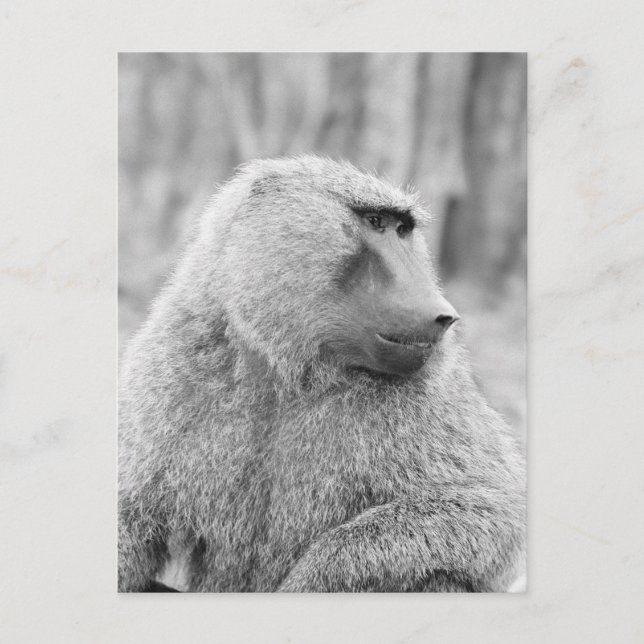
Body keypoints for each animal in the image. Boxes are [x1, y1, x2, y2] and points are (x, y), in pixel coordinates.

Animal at [118, 155, 526, 593]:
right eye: (375, 221)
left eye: (403, 230)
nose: (443, 315)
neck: (288, 371)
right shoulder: (170, 362)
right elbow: (131, 516)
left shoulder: (430, 397)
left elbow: (492, 509)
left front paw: (308, 583)